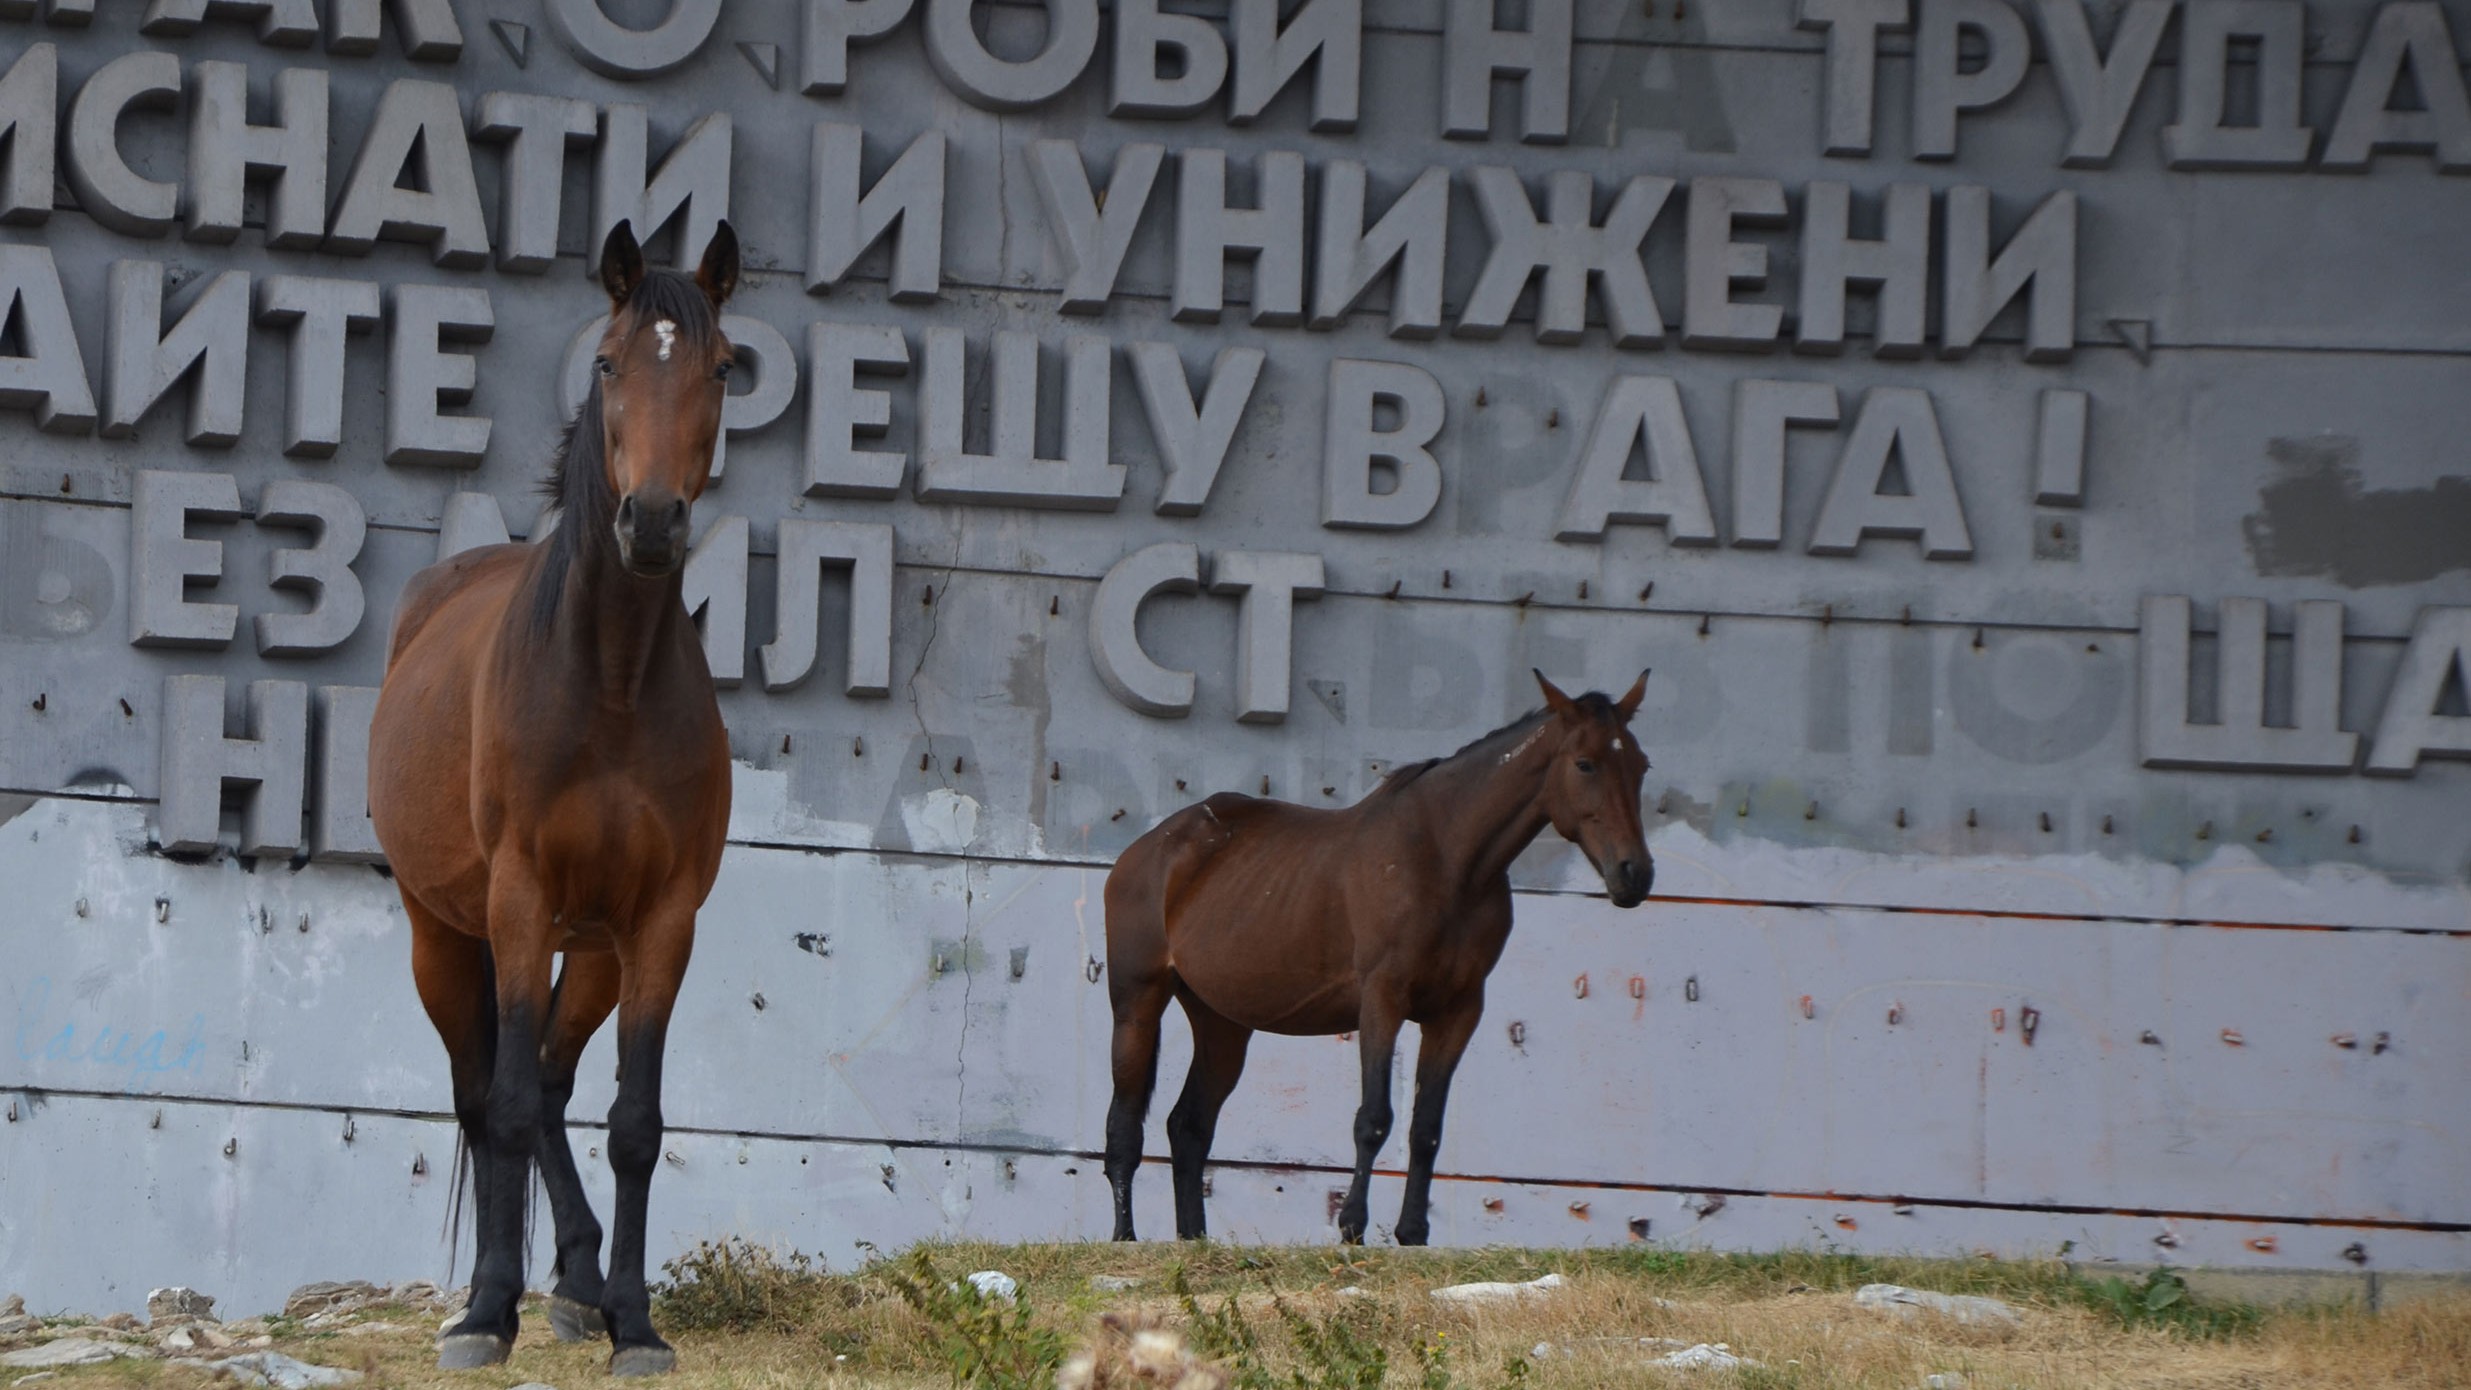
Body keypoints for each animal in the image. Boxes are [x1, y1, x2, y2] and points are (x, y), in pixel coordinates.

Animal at [365, 223, 731, 1372]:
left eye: (723, 368)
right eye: (607, 363)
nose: (650, 522)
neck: (606, 684)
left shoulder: (661, 923)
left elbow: (634, 1123)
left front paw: (635, 1325)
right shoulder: (519, 903)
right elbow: (512, 1106)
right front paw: (488, 1313)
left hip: (597, 949)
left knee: (561, 1081)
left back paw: (576, 1282)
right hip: (444, 935)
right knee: (488, 1094)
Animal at [1107, 666, 1650, 1244]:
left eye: (1641, 764)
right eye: (1585, 762)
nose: (1635, 874)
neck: (1444, 860)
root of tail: (1148, 848)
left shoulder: (1458, 1011)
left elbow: (1426, 1126)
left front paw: (1411, 1232)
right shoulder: (1383, 1000)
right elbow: (1373, 1118)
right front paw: (1352, 1225)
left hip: (1222, 1021)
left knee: (1189, 1126)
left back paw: (1194, 1240)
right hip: (1137, 1001)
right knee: (1124, 1126)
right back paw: (1124, 1237)